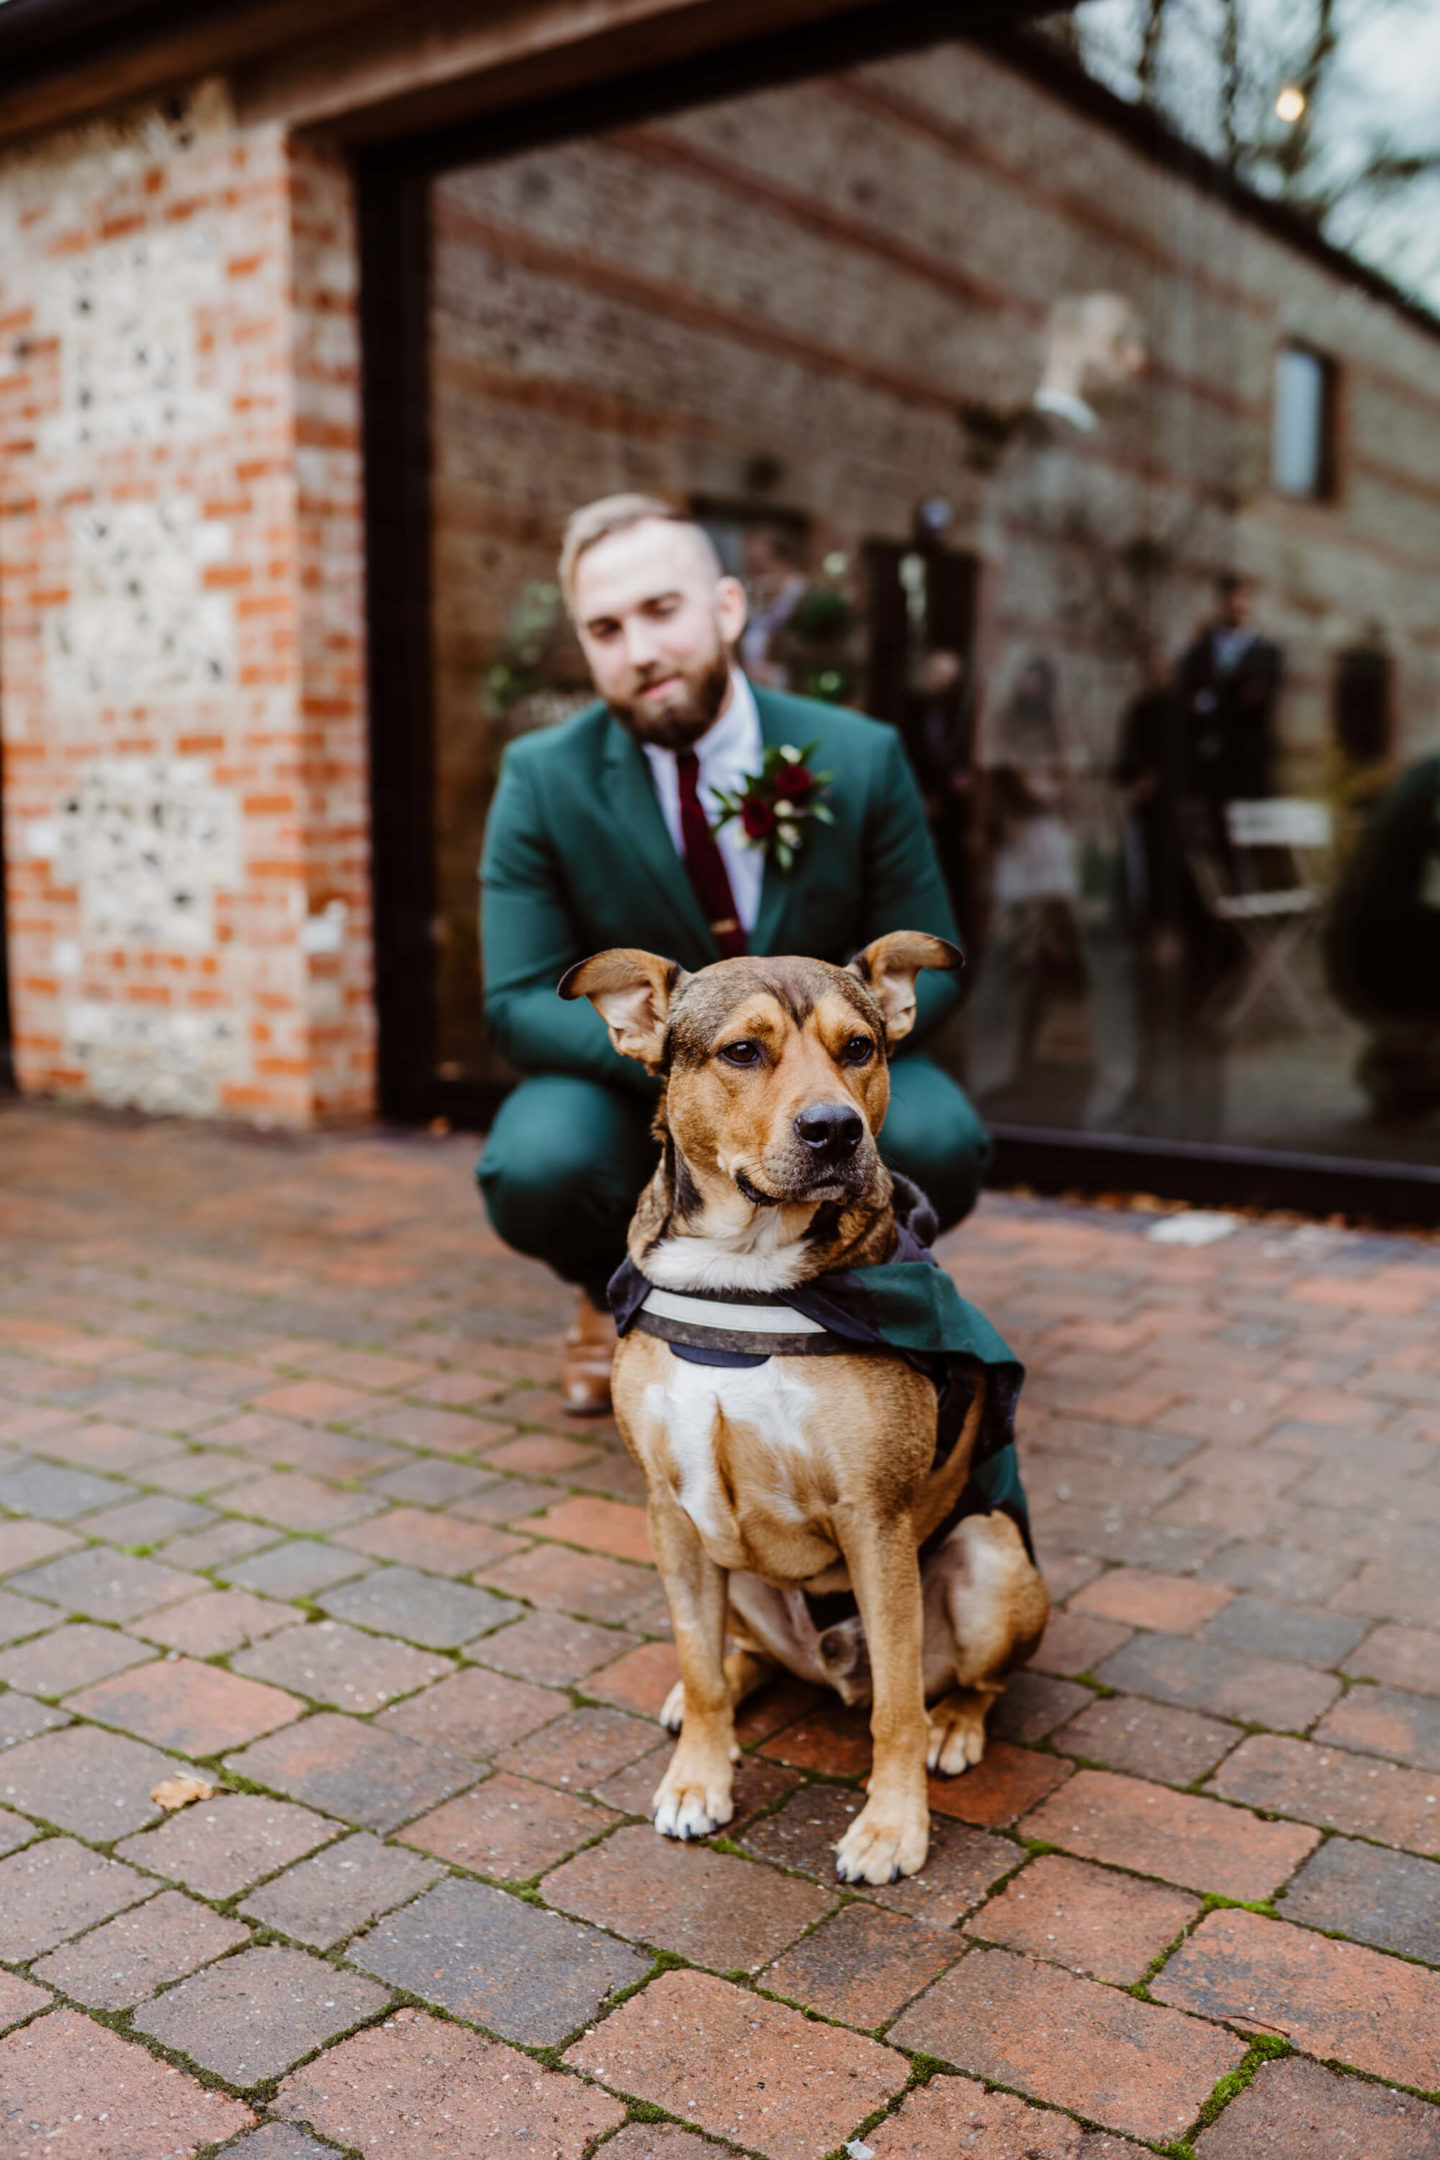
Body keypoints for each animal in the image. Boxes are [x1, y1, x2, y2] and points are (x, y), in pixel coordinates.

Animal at [557, 937, 1040, 1883]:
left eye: (859, 1048)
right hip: (727, 1562)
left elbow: (895, 1705)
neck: (743, 1274)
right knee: (736, 1655)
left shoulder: (875, 1522)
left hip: (993, 1556)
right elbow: (699, 1659)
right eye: (743, 1052)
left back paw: (956, 1728)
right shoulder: (669, 1510)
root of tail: (827, 1667)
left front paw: (892, 1828)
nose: (835, 1129)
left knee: (968, 1683)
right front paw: (698, 1778)